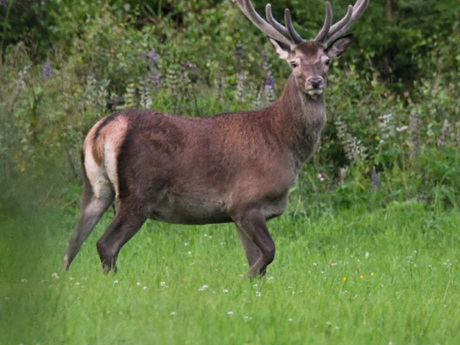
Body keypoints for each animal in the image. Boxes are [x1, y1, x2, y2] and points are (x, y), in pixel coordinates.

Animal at [63, 0, 368, 278]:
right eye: (294, 62)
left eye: (327, 61)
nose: (315, 82)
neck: (286, 145)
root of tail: (104, 127)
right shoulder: (246, 202)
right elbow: (268, 254)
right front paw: (241, 280)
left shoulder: (242, 215)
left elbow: (259, 263)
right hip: (140, 190)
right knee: (106, 243)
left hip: (95, 187)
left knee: (73, 242)